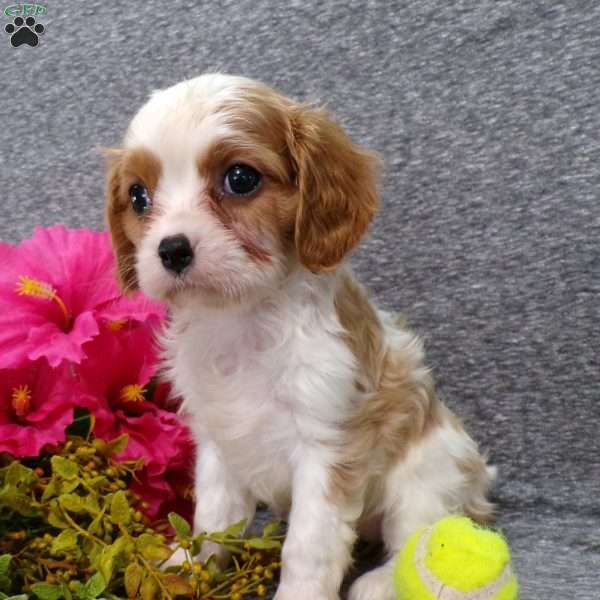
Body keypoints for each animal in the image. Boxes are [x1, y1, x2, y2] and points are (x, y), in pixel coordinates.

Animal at [105, 75, 494, 600]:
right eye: (139, 197)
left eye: (240, 179)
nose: (171, 250)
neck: (243, 321)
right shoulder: (217, 443)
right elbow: (213, 517)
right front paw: (187, 568)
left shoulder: (328, 448)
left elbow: (308, 546)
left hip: (428, 473)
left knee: (421, 531)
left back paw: (382, 581)